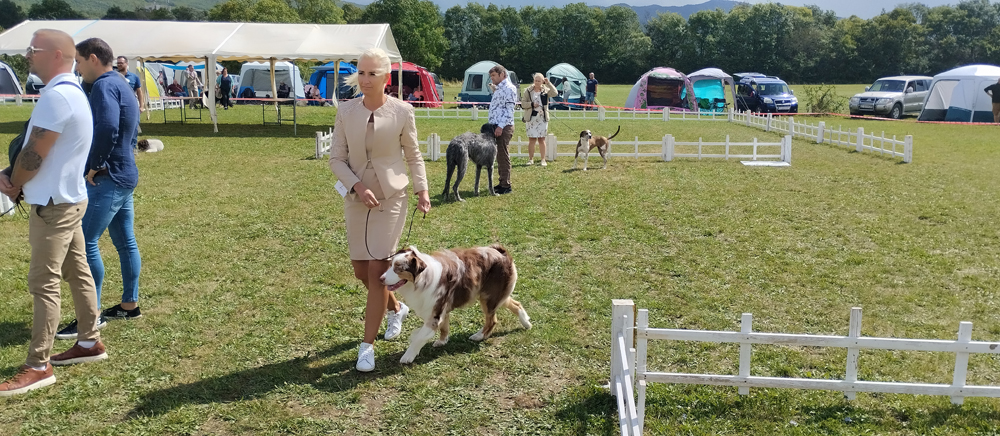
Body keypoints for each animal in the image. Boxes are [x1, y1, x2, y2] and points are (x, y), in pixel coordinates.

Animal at [380, 244, 532, 364]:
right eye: (390, 265)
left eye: (399, 269)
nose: (381, 279)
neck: (423, 279)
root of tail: (501, 251)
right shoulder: (442, 310)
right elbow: (444, 327)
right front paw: (442, 341)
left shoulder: (435, 314)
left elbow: (419, 337)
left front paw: (408, 356)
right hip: (495, 296)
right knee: (516, 304)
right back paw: (526, 323)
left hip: (488, 298)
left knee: (492, 320)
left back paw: (479, 336)